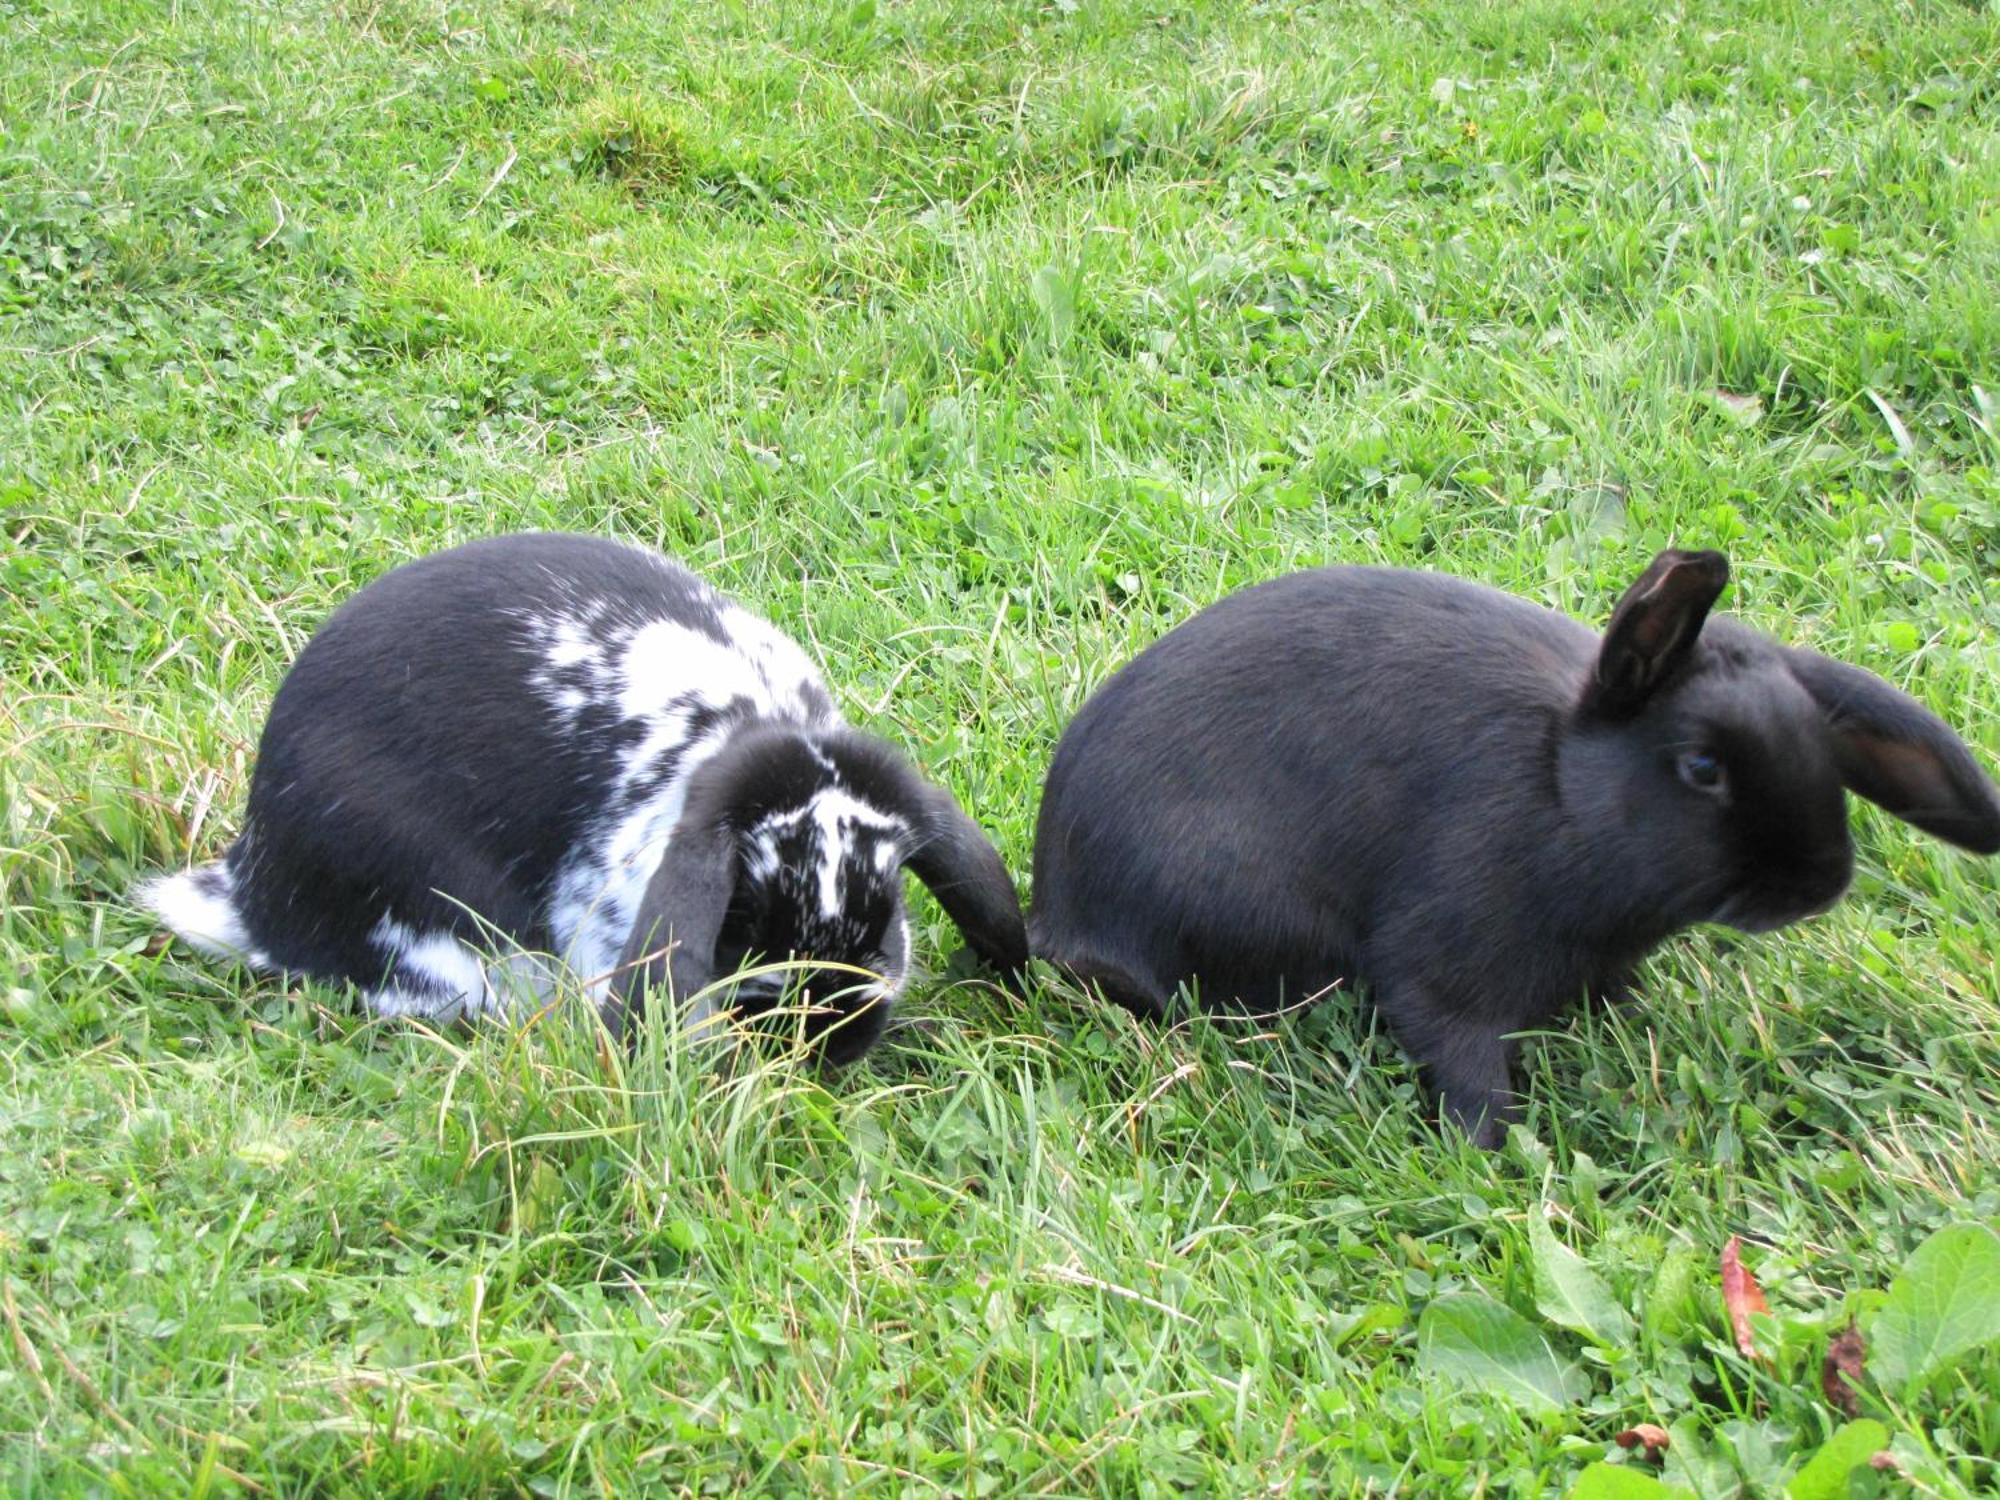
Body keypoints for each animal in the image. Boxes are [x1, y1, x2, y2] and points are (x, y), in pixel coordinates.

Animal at [1032, 552, 2000, 1152]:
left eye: (1822, 743)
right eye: (1702, 768)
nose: (1821, 882)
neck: (1564, 793)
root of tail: (1056, 908)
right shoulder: (1443, 970)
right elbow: (1462, 1057)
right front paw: (1487, 1152)